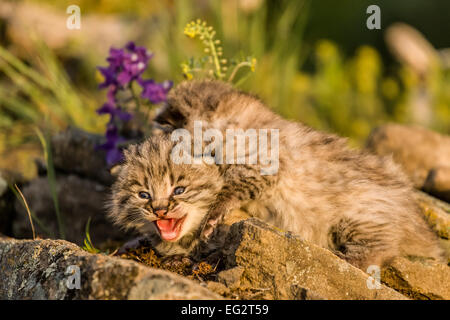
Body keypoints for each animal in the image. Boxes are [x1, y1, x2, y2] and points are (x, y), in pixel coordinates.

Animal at [109, 79, 442, 268]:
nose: (159, 208)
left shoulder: (264, 164)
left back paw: (345, 259)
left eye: (178, 188)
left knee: (380, 252)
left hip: (361, 218)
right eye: (144, 193)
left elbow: (229, 191)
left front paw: (211, 218)